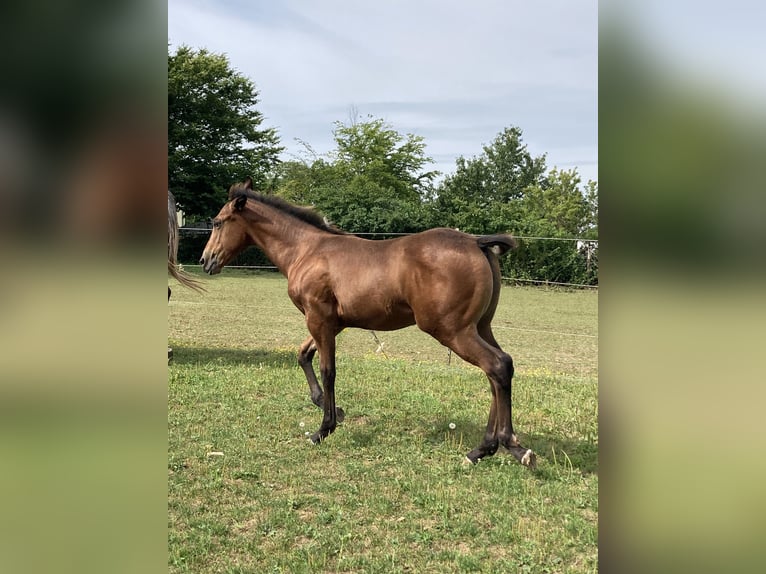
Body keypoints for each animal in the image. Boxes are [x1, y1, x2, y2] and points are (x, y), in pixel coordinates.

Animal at [201, 181, 536, 472]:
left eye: (217, 222)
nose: (206, 261)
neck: (306, 250)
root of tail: (477, 241)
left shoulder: (318, 319)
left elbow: (328, 370)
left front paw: (323, 429)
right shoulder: (332, 323)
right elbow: (303, 356)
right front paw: (332, 409)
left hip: (452, 330)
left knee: (497, 365)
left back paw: (503, 447)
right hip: (481, 326)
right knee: (498, 371)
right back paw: (492, 448)